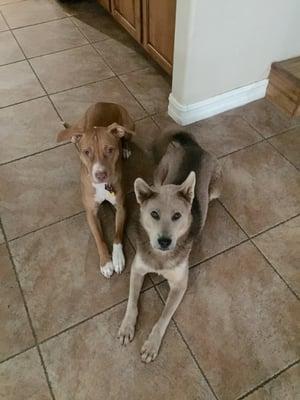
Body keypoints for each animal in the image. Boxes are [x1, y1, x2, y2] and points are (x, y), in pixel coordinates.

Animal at [56, 103, 136, 278]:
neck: (103, 186)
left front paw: (117, 258)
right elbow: (99, 238)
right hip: (80, 125)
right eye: (87, 152)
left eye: (110, 150)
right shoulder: (91, 213)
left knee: (126, 138)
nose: (100, 174)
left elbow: (117, 234)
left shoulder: (121, 208)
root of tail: (106, 102)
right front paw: (106, 262)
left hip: (129, 126)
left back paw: (125, 149)